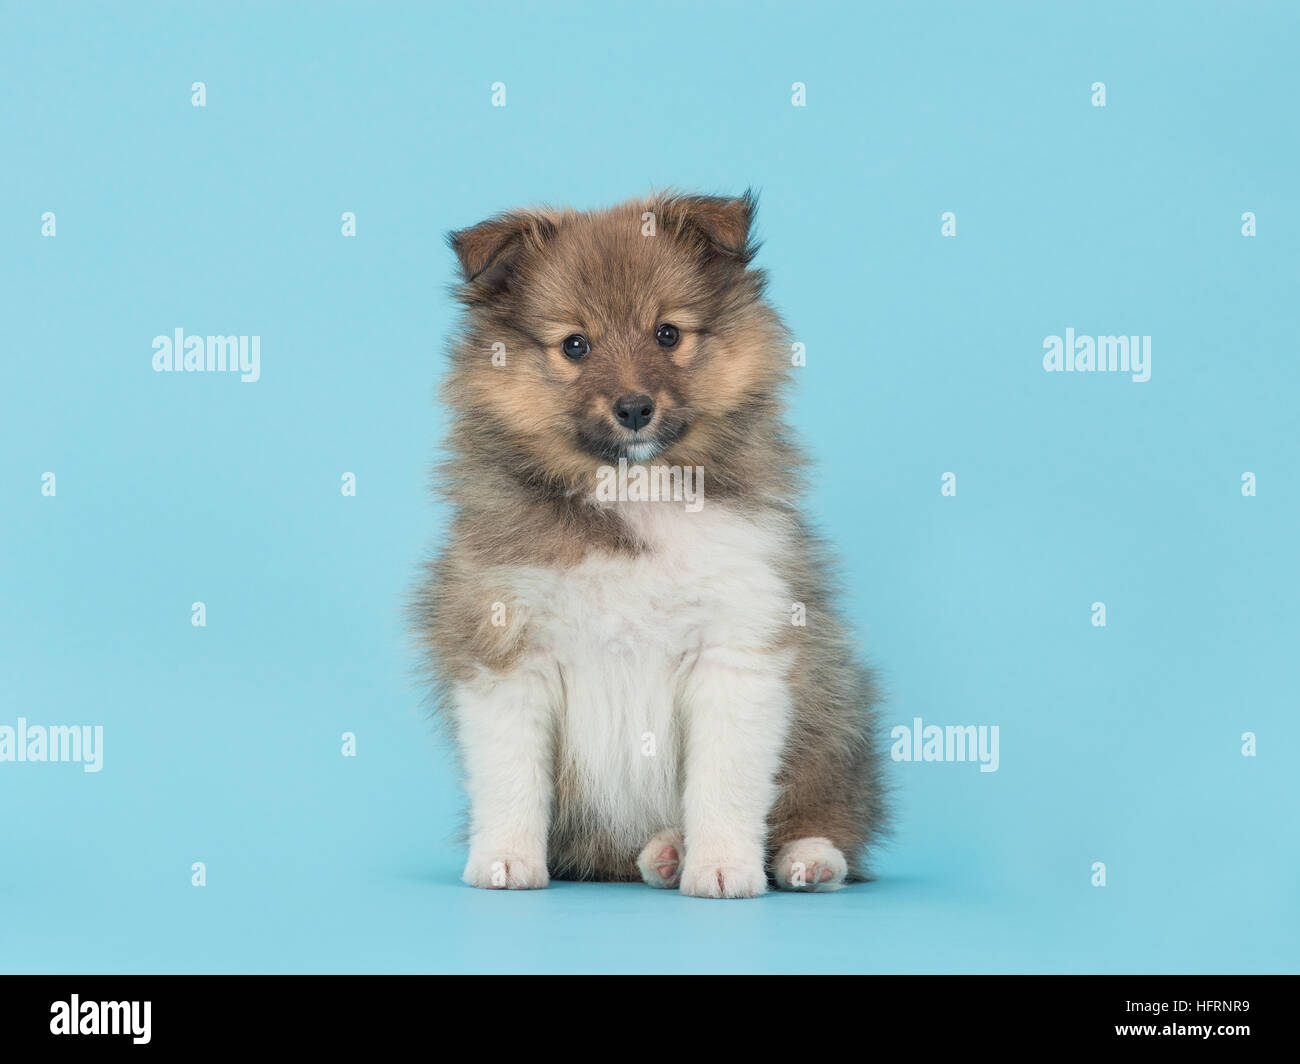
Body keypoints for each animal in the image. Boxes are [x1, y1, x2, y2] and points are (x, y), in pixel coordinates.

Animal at [413, 192, 883, 894]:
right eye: (574, 345)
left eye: (667, 333)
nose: (634, 408)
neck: (634, 489)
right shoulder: (506, 649)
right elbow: (511, 777)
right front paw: (505, 860)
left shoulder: (736, 647)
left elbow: (725, 783)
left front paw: (722, 867)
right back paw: (663, 852)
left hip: (831, 713)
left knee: (827, 810)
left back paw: (806, 859)